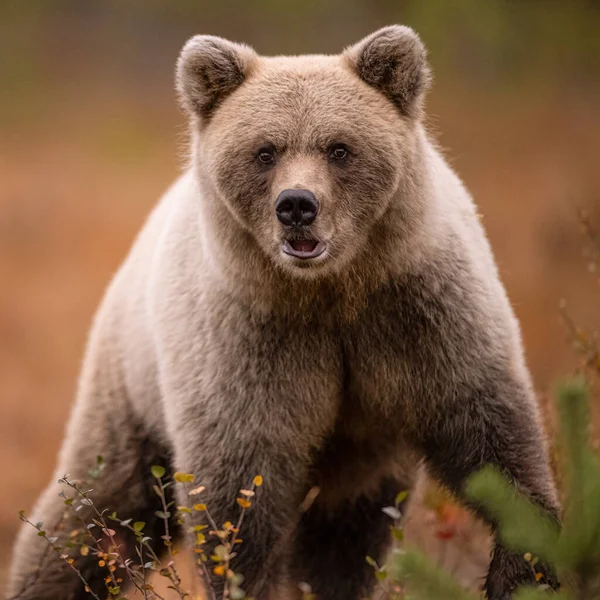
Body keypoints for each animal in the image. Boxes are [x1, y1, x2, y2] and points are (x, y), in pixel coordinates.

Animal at [8, 25, 556, 600]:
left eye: (339, 148)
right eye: (265, 151)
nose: (297, 205)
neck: (330, 291)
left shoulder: (420, 313)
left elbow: (489, 431)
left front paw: (523, 566)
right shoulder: (248, 342)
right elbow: (240, 497)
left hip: (362, 458)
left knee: (348, 536)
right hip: (133, 387)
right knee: (97, 510)